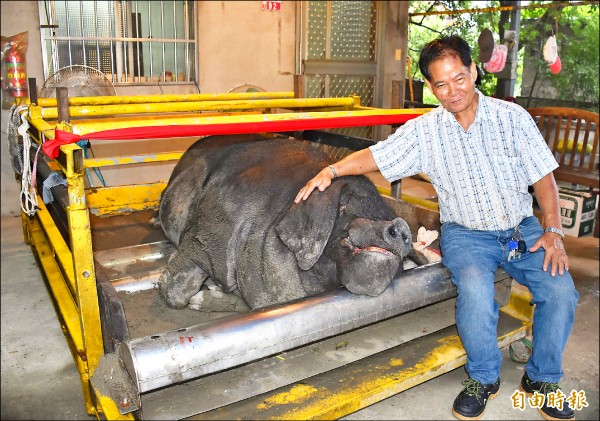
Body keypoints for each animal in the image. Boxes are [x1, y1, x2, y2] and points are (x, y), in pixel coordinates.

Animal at [158, 135, 418, 308]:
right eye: (344, 208)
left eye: (383, 213)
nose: (399, 225)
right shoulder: (201, 235)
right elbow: (177, 294)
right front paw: (170, 290)